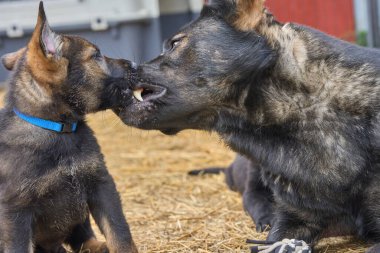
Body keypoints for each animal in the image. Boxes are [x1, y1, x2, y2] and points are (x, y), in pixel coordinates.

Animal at [0, 2, 137, 253]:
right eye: (96, 55)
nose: (134, 64)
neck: (59, 128)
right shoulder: (15, 209)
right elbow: (19, 246)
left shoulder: (101, 183)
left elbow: (119, 231)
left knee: (81, 236)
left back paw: (96, 245)